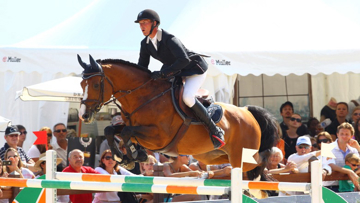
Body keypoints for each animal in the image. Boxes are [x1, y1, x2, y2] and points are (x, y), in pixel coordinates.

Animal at [77, 54, 278, 189]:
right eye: (81, 85)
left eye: (95, 84)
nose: (84, 115)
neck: (144, 96)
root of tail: (247, 112)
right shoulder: (134, 128)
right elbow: (111, 130)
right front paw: (126, 156)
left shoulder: (159, 138)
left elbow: (126, 133)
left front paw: (133, 155)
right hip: (213, 155)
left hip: (242, 154)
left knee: (258, 160)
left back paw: (264, 176)